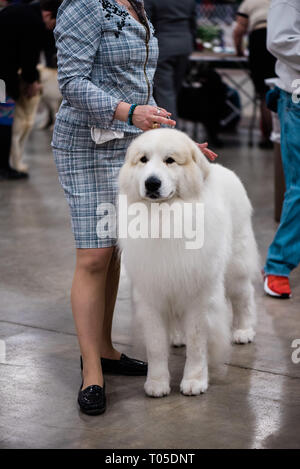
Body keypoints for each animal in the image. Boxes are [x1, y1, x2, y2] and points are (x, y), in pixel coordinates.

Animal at [118, 129, 258, 398]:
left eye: (170, 160)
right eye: (143, 160)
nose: (152, 183)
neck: (165, 215)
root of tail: (224, 169)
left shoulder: (198, 297)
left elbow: (196, 343)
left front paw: (194, 381)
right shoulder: (153, 292)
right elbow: (155, 346)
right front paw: (157, 383)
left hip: (236, 266)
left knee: (243, 297)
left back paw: (244, 330)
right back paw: (176, 337)